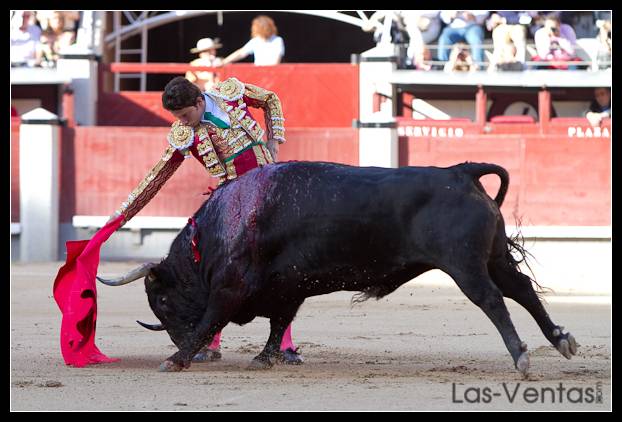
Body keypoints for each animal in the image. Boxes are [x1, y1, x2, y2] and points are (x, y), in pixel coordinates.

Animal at [98, 161, 580, 372]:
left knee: (493, 300)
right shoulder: (287, 287)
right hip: (494, 255)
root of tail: (459, 171)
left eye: (161, 300)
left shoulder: (230, 289)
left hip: (464, 264)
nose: (181, 346)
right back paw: (561, 340)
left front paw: (176, 359)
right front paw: (265, 357)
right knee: (521, 288)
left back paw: (521, 356)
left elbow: (210, 319)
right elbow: (279, 323)